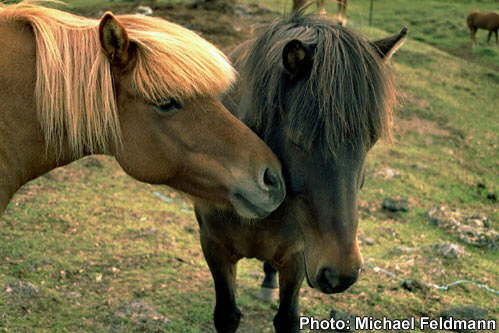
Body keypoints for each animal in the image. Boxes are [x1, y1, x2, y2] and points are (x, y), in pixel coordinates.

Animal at [193, 11, 408, 330]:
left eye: (372, 139)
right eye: (299, 138)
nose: (340, 274)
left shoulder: (297, 257)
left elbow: (288, 318)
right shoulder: (214, 247)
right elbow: (227, 315)